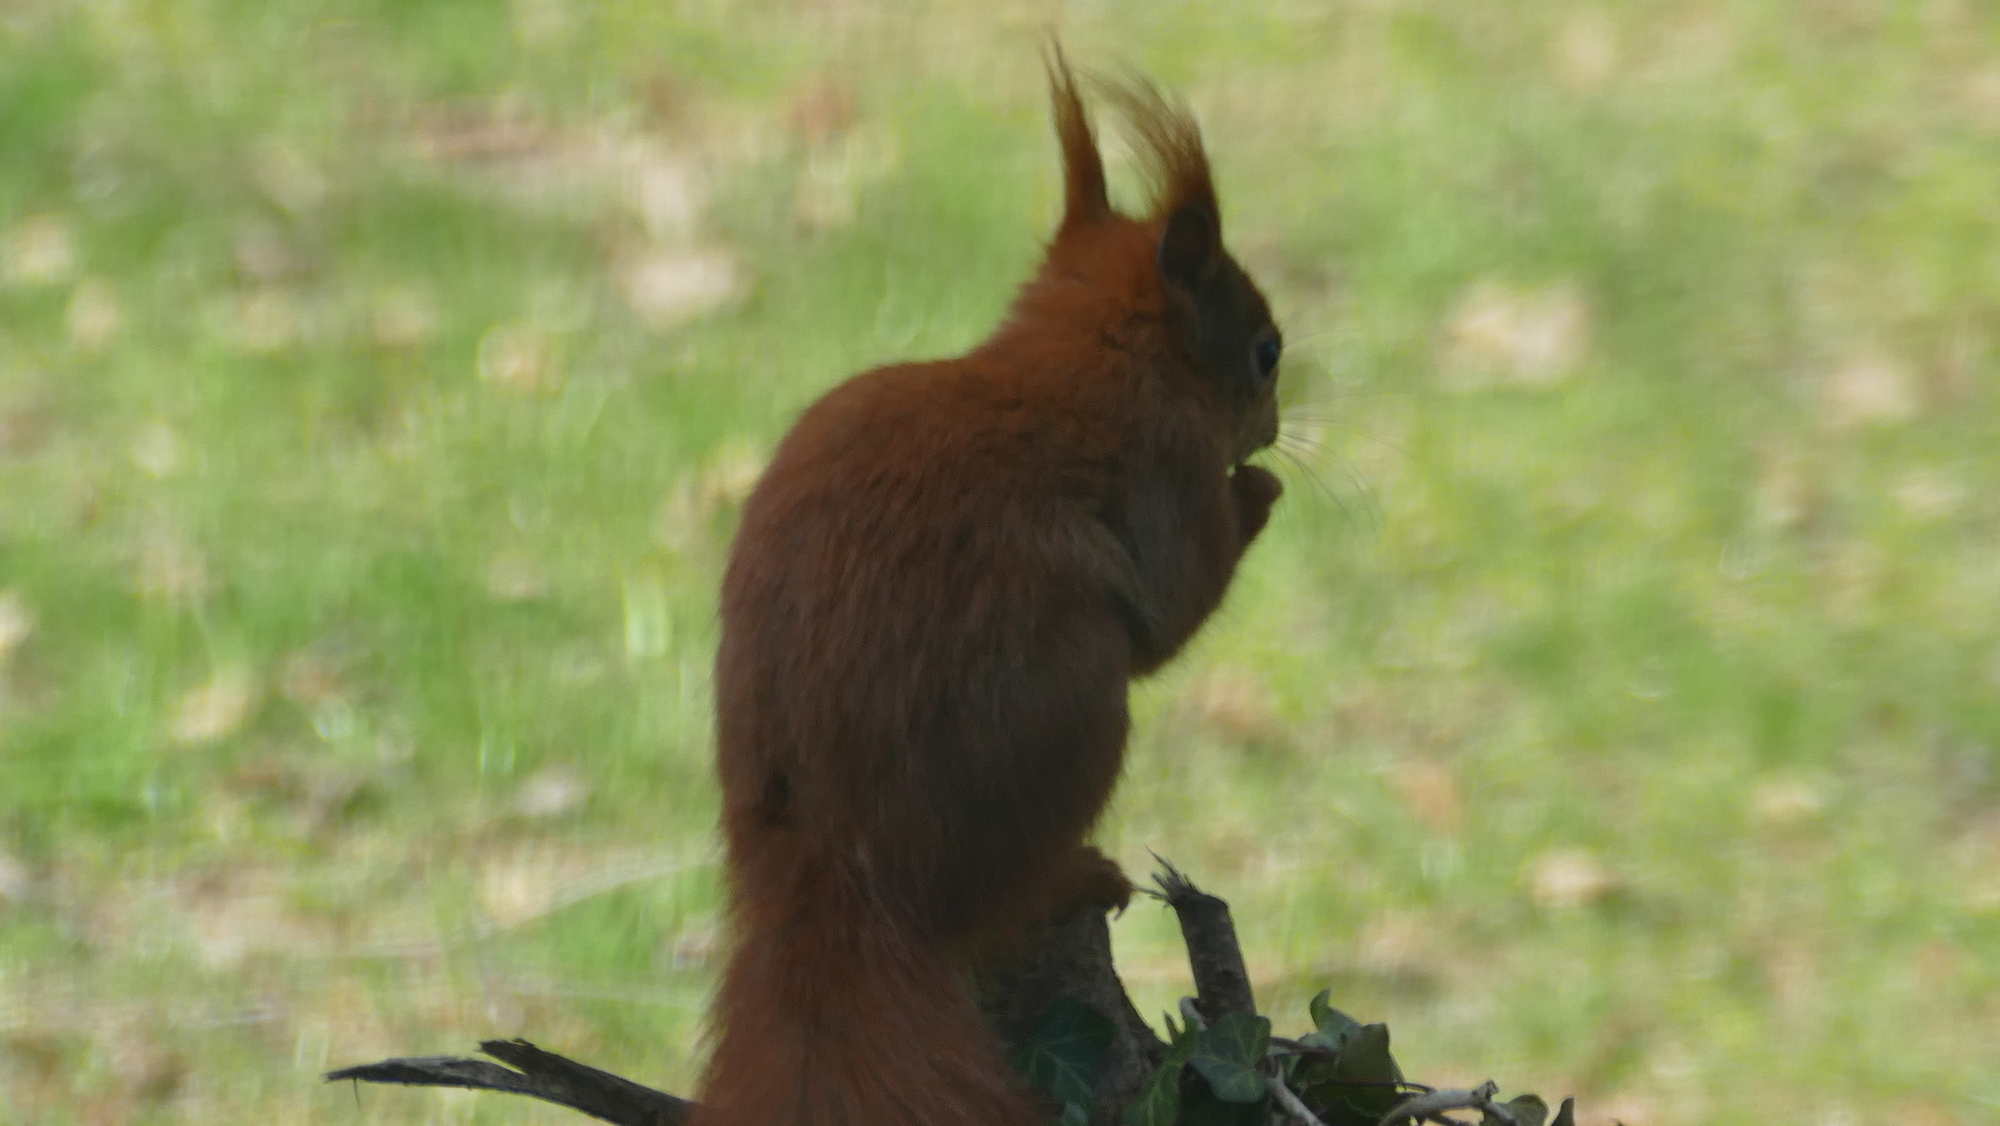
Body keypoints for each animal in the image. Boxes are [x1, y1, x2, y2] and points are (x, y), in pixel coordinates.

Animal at [694, 49, 1284, 1126]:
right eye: (1266, 350)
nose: (1272, 426)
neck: (1091, 351)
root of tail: (842, 861)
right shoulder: (1167, 469)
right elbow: (1172, 611)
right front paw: (1259, 489)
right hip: (1073, 711)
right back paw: (1069, 876)